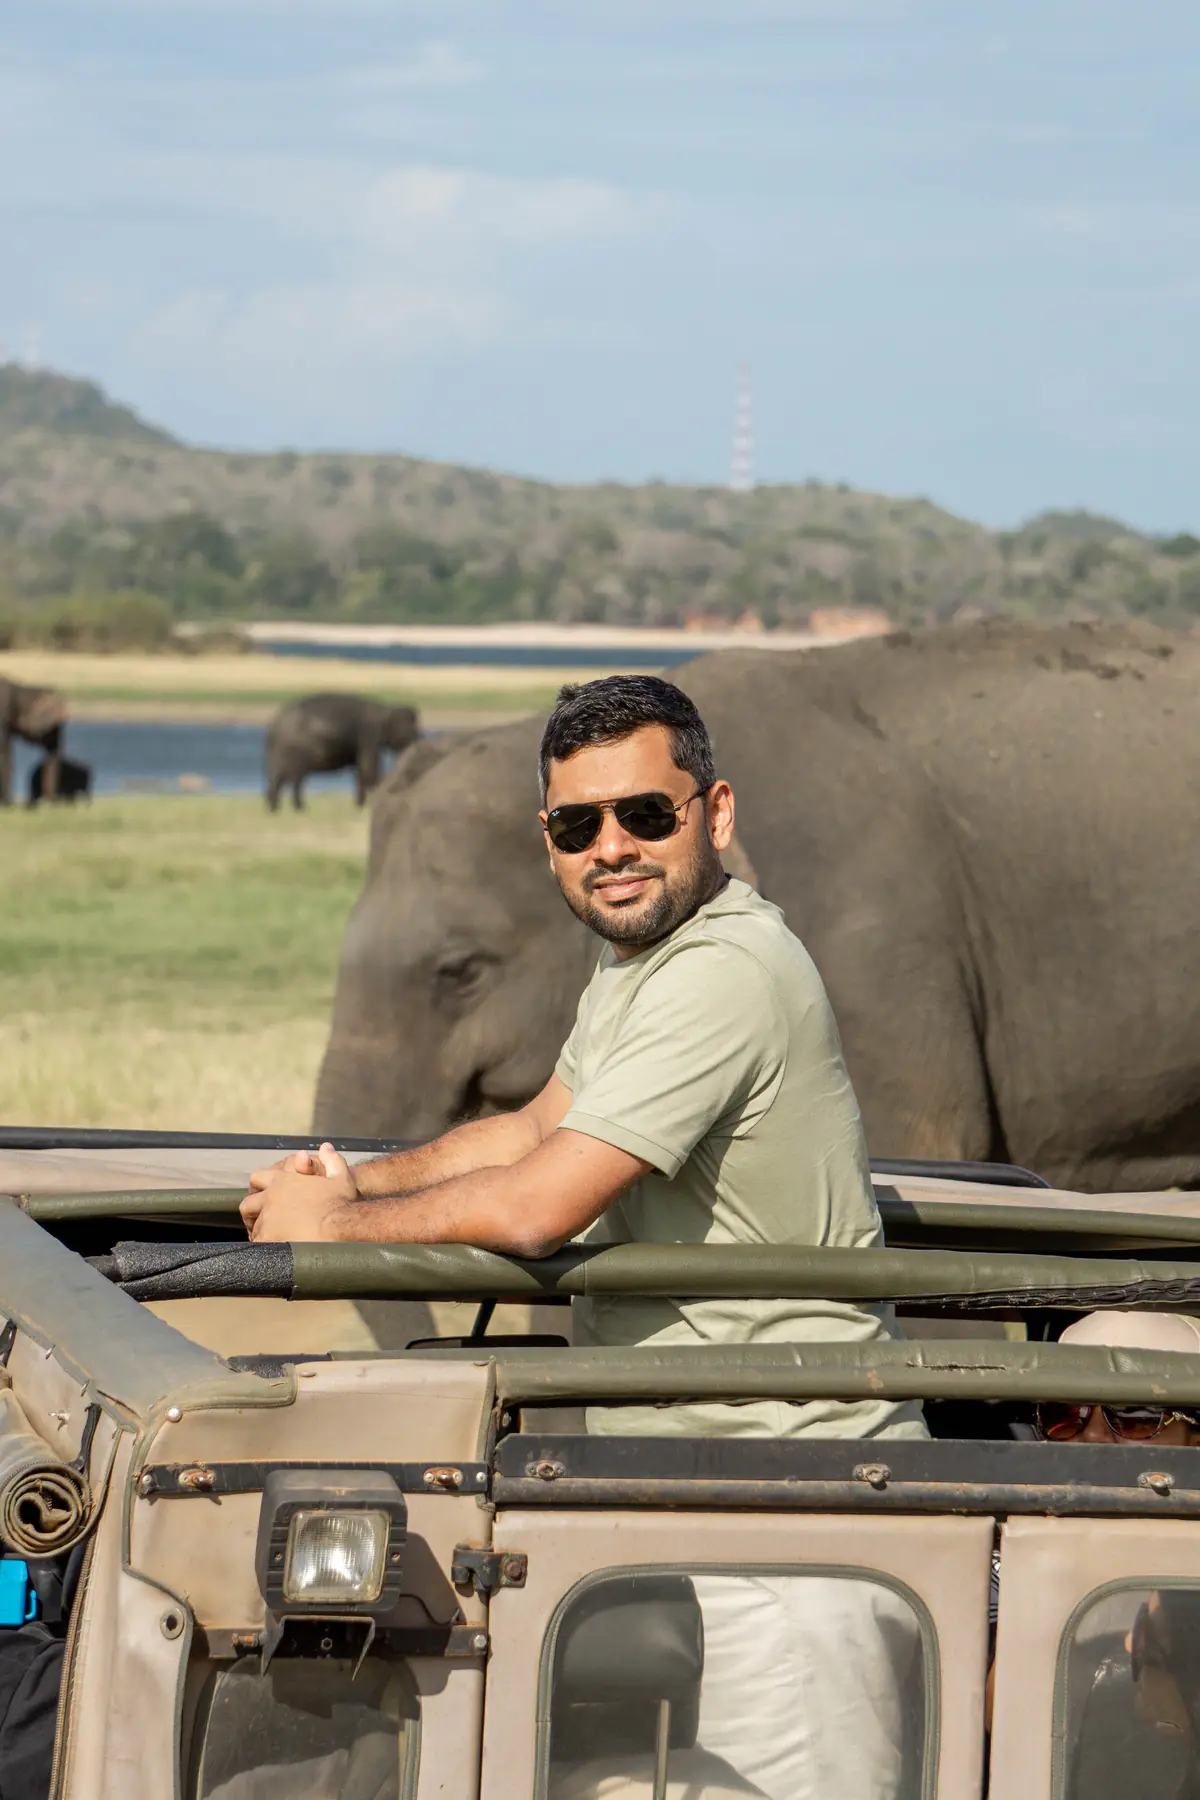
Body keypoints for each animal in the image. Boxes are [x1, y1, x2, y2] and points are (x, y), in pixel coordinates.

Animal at [264, 693, 419, 810]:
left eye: (416, 723)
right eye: (411, 726)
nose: (419, 737)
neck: (385, 710)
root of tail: (274, 726)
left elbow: (360, 771)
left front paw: (359, 807)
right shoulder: (369, 736)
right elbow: (368, 769)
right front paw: (363, 806)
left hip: (279, 755)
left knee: (279, 778)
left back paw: (275, 809)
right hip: (294, 752)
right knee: (295, 779)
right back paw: (299, 809)